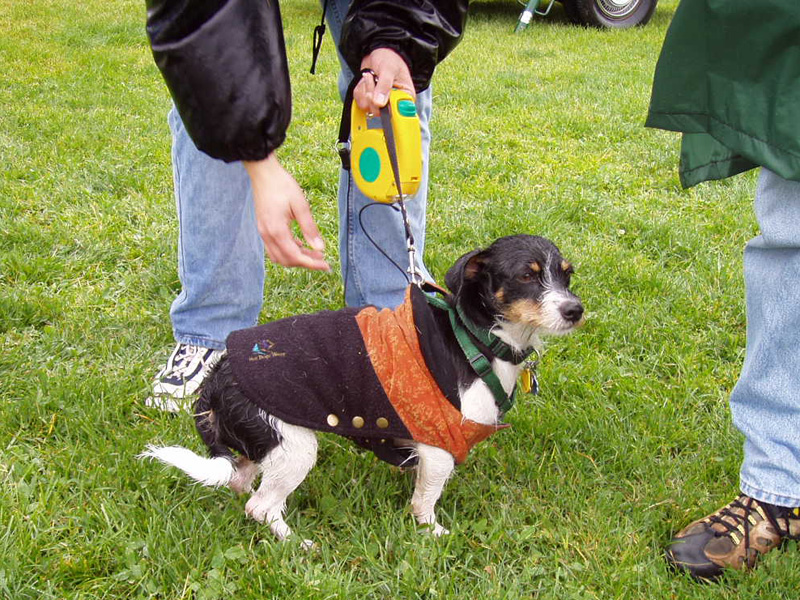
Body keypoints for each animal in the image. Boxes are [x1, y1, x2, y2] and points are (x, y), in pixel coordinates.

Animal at [143, 234, 584, 543]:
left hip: (263, 445)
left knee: (240, 482)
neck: (477, 337)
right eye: (526, 276)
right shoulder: (439, 446)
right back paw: (297, 544)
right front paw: (432, 531)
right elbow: (426, 500)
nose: (575, 310)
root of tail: (217, 378)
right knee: (261, 506)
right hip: (294, 447)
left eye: (567, 274)